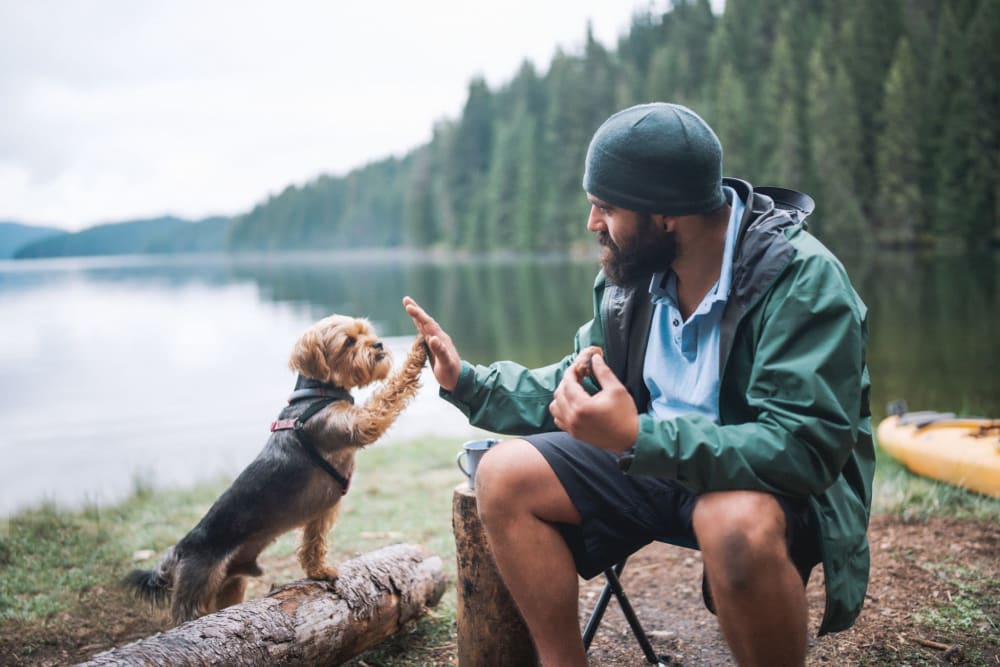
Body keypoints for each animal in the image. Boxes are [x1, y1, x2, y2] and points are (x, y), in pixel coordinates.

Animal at [124, 316, 426, 624]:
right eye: (349, 341)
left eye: (366, 332)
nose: (378, 345)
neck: (318, 394)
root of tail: (180, 549)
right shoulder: (359, 423)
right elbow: (389, 394)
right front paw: (419, 349)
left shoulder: (320, 512)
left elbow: (313, 542)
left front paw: (318, 570)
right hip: (196, 588)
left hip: (231, 584)